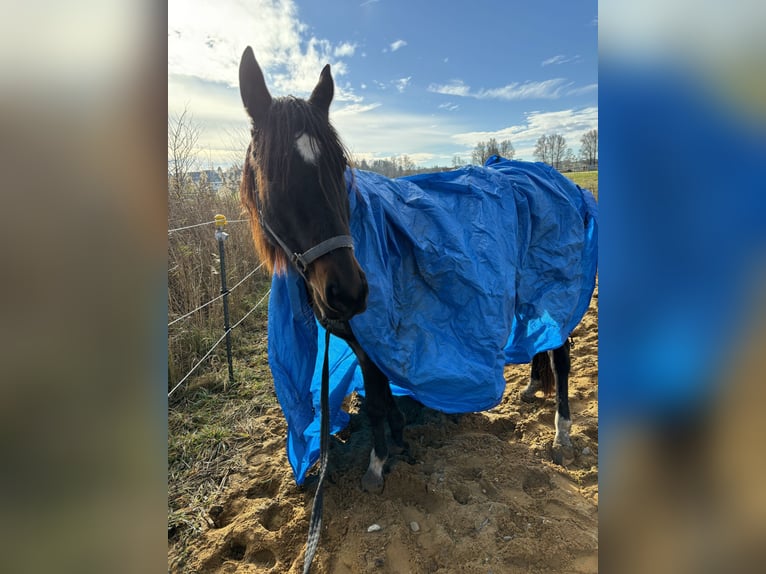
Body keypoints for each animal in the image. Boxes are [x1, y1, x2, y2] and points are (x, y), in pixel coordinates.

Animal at [240, 45, 588, 498]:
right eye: (274, 175)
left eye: (340, 166)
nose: (349, 292)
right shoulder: (369, 342)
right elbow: (384, 396)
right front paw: (401, 442)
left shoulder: (377, 338)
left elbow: (375, 399)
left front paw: (377, 464)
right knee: (541, 338)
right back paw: (530, 388)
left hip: (554, 284)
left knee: (561, 354)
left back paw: (562, 433)